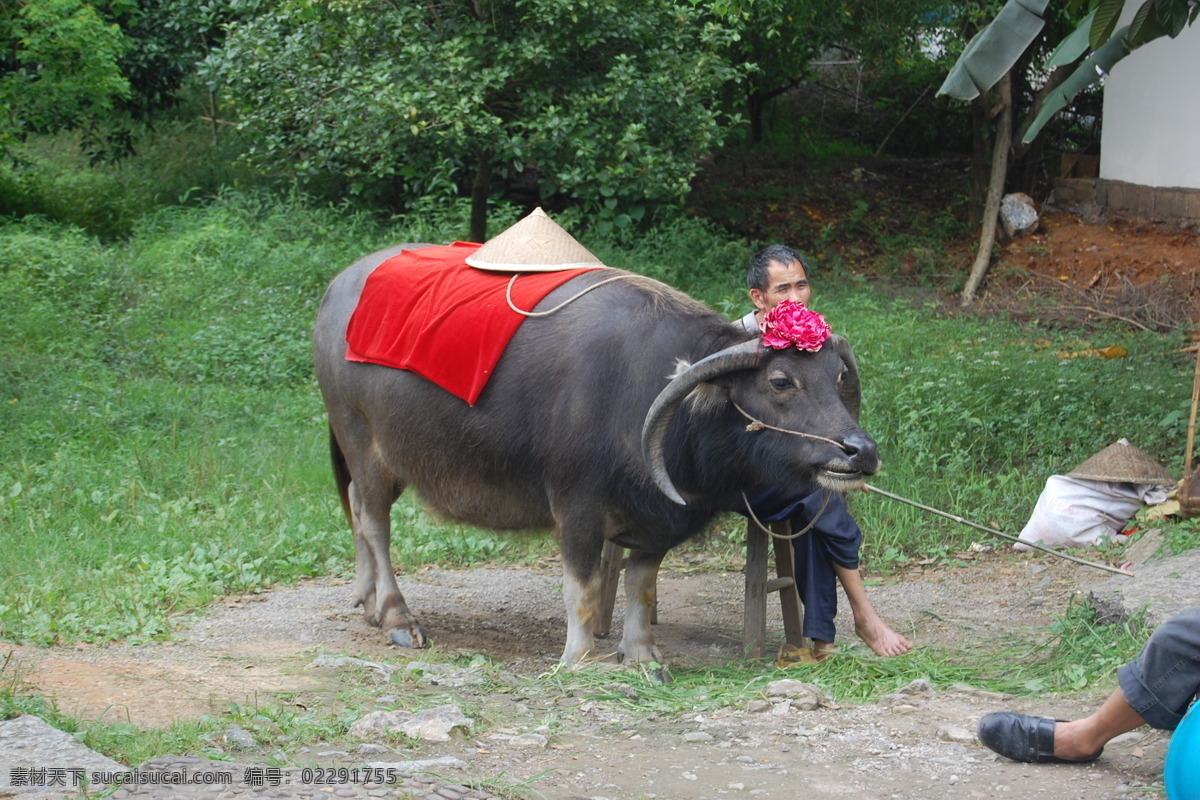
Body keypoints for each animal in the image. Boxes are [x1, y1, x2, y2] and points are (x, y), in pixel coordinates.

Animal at [312, 247, 883, 666]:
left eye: (837, 377)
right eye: (780, 381)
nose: (860, 450)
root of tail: (336, 290)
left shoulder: (656, 514)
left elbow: (642, 587)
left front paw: (643, 656)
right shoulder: (577, 508)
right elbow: (583, 588)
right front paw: (580, 658)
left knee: (357, 510)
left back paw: (366, 601)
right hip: (360, 438)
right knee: (374, 520)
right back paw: (395, 616)